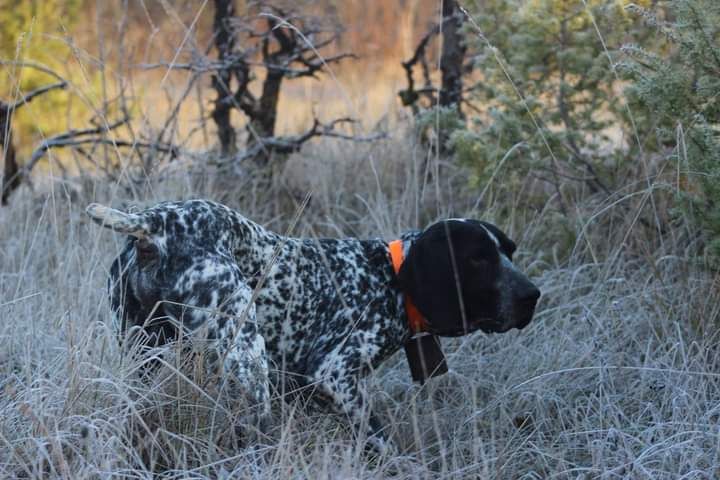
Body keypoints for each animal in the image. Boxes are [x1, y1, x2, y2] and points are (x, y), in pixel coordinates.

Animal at [86, 199, 540, 454]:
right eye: (477, 259)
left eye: (510, 251)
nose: (531, 296)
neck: (391, 278)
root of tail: (156, 223)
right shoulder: (335, 376)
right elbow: (381, 441)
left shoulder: (307, 389)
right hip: (249, 360)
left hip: (143, 354)